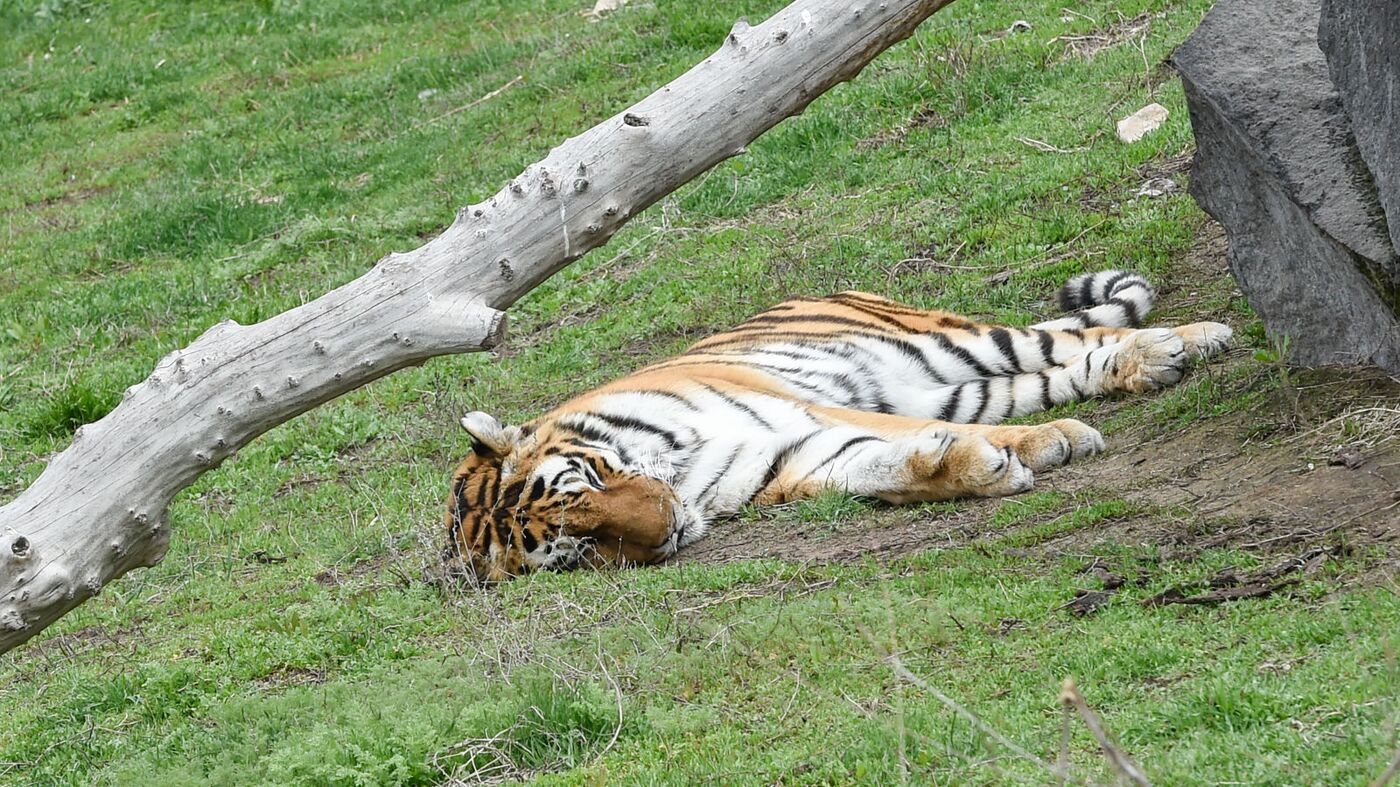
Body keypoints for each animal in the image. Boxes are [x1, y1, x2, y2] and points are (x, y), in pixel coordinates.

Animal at [442, 271, 1232, 582]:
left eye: (590, 478)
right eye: (579, 549)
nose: (666, 526)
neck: (682, 478)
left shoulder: (804, 412)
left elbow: (884, 434)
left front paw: (1024, 452)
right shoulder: (792, 460)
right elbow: (873, 464)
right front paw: (976, 466)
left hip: (948, 344)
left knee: (1071, 339)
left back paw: (1183, 343)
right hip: (967, 388)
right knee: (1045, 378)